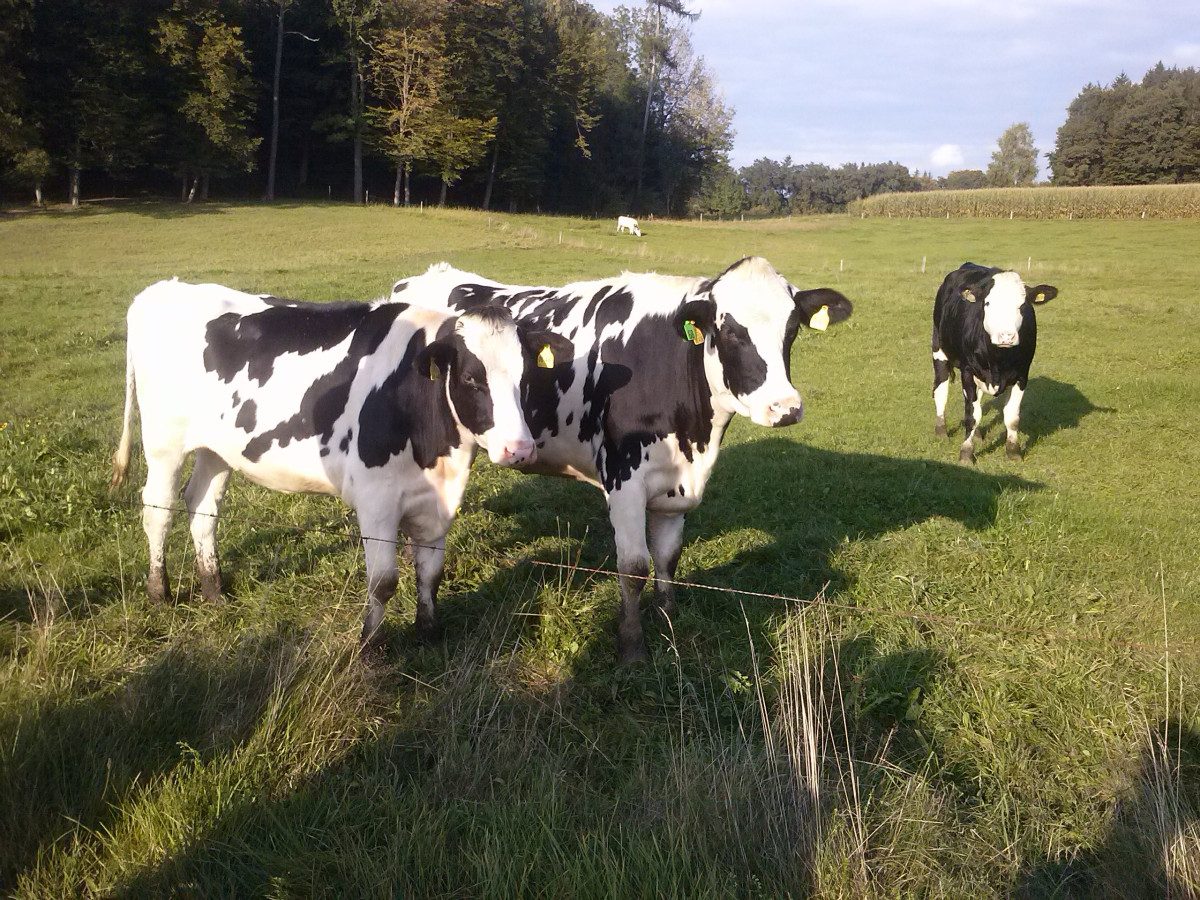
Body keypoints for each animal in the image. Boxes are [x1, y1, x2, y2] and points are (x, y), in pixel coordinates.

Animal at [109, 280, 571, 648]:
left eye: (527, 377)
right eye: (472, 379)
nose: (519, 449)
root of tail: (162, 288)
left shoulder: (435, 500)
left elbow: (431, 572)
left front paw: (428, 633)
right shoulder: (376, 499)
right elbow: (384, 581)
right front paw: (371, 645)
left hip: (217, 447)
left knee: (202, 507)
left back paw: (213, 590)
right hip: (164, 443)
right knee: (158, 510)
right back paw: (159, 593)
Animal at [393, 256, 854, 667]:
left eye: (791, 329)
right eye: (730, 332)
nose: (785, 408)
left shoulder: (675, 484)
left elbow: (668, 557)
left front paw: (668, 618)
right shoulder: (624, 476)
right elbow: (634, 567)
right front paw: (632, 647)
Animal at [931, 262, 1056, 465]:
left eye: (1022, 306)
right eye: (988, 303)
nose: (1006, 336)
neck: (998, 360)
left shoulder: (1022, 375)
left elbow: (1011, 417)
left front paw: (1013, 452)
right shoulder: (967, 371)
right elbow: (971, 415)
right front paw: (966, 453)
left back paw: (978, 435)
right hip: (939, 350)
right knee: (941, 391)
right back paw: (941, 431)